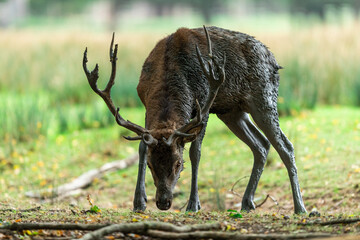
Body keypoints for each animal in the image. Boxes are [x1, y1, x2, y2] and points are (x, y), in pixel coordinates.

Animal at [83, 25, 306, 214]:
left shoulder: (204, 105)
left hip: (264, 98)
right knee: (261, 144)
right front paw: (139, 203)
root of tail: (274, 60)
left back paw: (300, 207)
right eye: (151, 165)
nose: (163, 202)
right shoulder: (146, 107)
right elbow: (142, 147)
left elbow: (195, 152)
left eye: (178, 164)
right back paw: (247, 202)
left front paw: (193, 204)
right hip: (231, 111)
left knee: (285, 146)